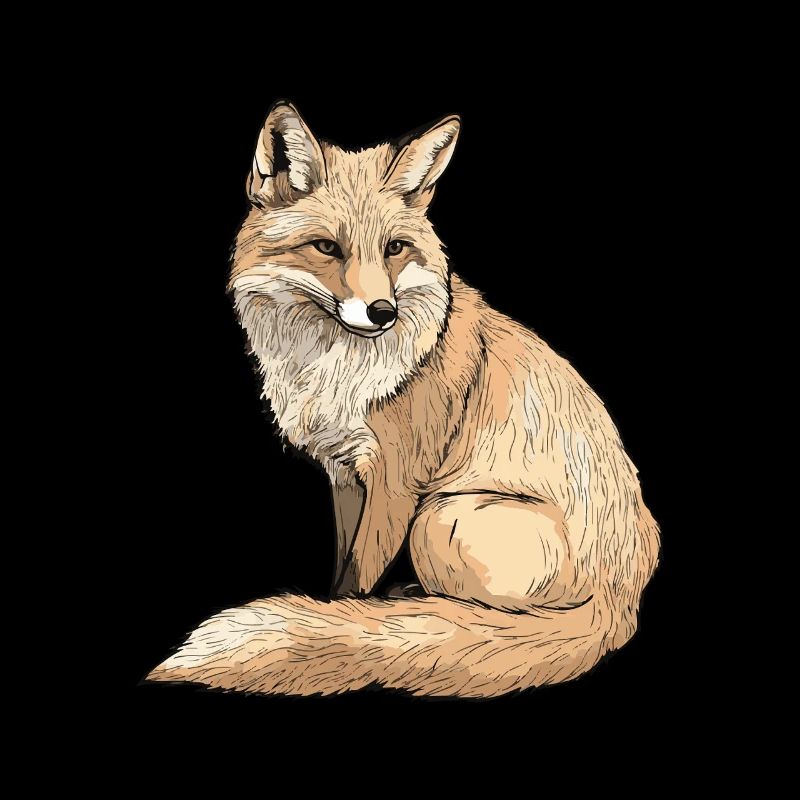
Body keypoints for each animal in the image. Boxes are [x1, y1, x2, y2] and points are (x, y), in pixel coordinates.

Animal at [148, 101, 660, 698]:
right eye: (327, 247)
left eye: (394, 248)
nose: (382, 312)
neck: (335, 372)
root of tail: (624, 603)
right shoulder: (346, 475)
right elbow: (343, 571)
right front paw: (339, 614)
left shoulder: (397, 482)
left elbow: (359, 580)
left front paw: (346, 627)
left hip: (440, 518)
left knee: (504, 619)